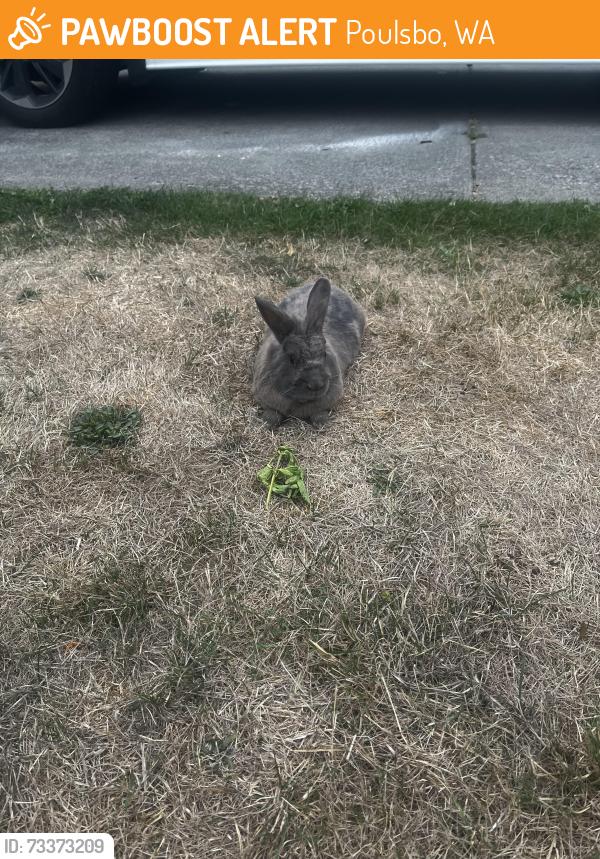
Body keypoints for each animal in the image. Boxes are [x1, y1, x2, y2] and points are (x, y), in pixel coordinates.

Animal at [252, 277, 366, 427]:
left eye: (324, 354)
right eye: (291, 358)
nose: (316, 384)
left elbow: (319, 415)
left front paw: (321, 423)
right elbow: (272, 415)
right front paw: (268, 423)